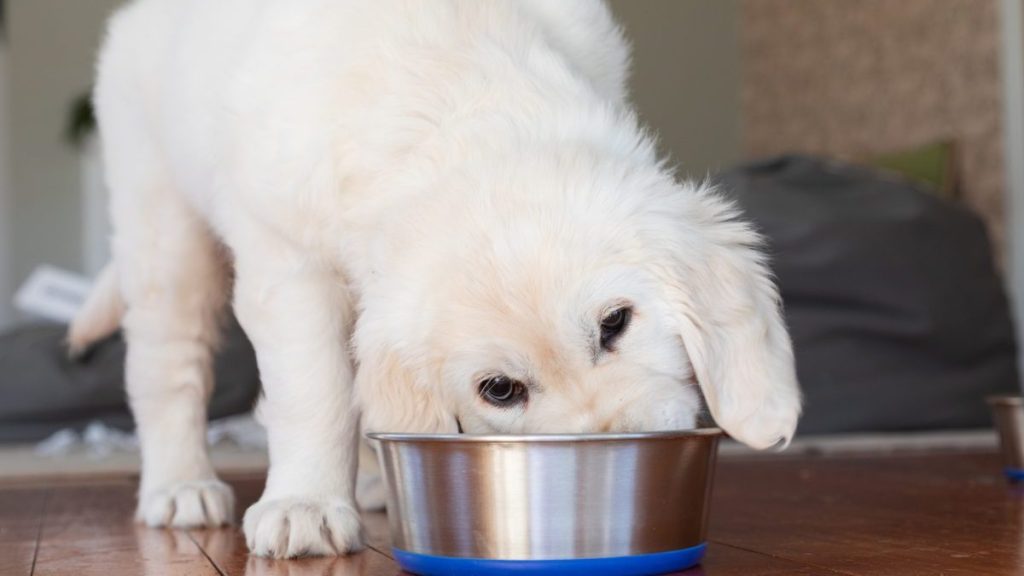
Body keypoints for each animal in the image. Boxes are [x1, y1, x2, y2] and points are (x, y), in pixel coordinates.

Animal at [72, 0, 798, 557]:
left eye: (615, 323)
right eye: (499, 390)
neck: (457, 100)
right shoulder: (289, 262)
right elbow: (314, 391)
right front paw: (305, 503)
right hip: (161, 225)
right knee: (168, 368)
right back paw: (179, 486)